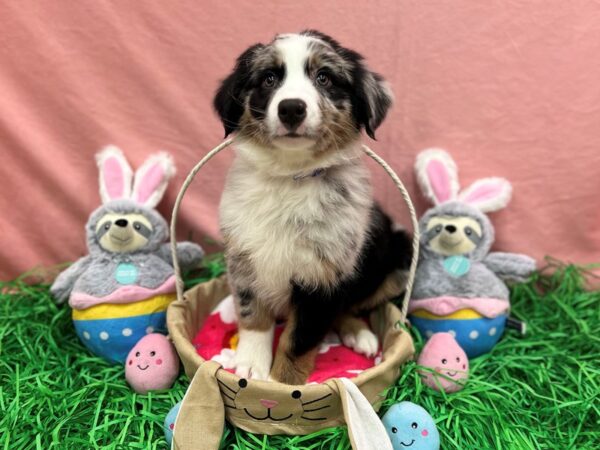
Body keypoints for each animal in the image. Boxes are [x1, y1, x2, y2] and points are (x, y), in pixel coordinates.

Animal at [213, 29, 414, 384]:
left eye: (324, 78)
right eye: (269, 79)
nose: (292, 108)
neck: (290, 177)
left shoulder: (323, 278)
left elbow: (298, 340)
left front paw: (280, 387)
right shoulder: (244, 260)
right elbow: (253, 316)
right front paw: (250, 364)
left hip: (398, 258)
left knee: (352, 307)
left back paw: (361, 335)